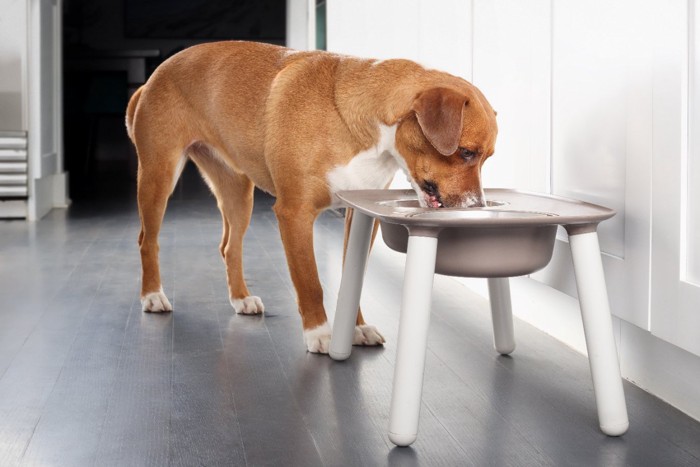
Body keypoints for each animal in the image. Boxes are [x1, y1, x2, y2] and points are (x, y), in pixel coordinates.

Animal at [127, 41, 498, 354]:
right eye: (466, 152)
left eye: (487, 157)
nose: (478, 207)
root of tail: (155, 75)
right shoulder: (295, 214)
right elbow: (310, 283)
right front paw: (319, 333)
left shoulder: (360, 216)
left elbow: (352, 279)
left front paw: (355, 329)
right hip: (159, 176)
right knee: (147, 240)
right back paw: (153, 296)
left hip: (238, 193)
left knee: (230, 247)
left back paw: (241, 299)